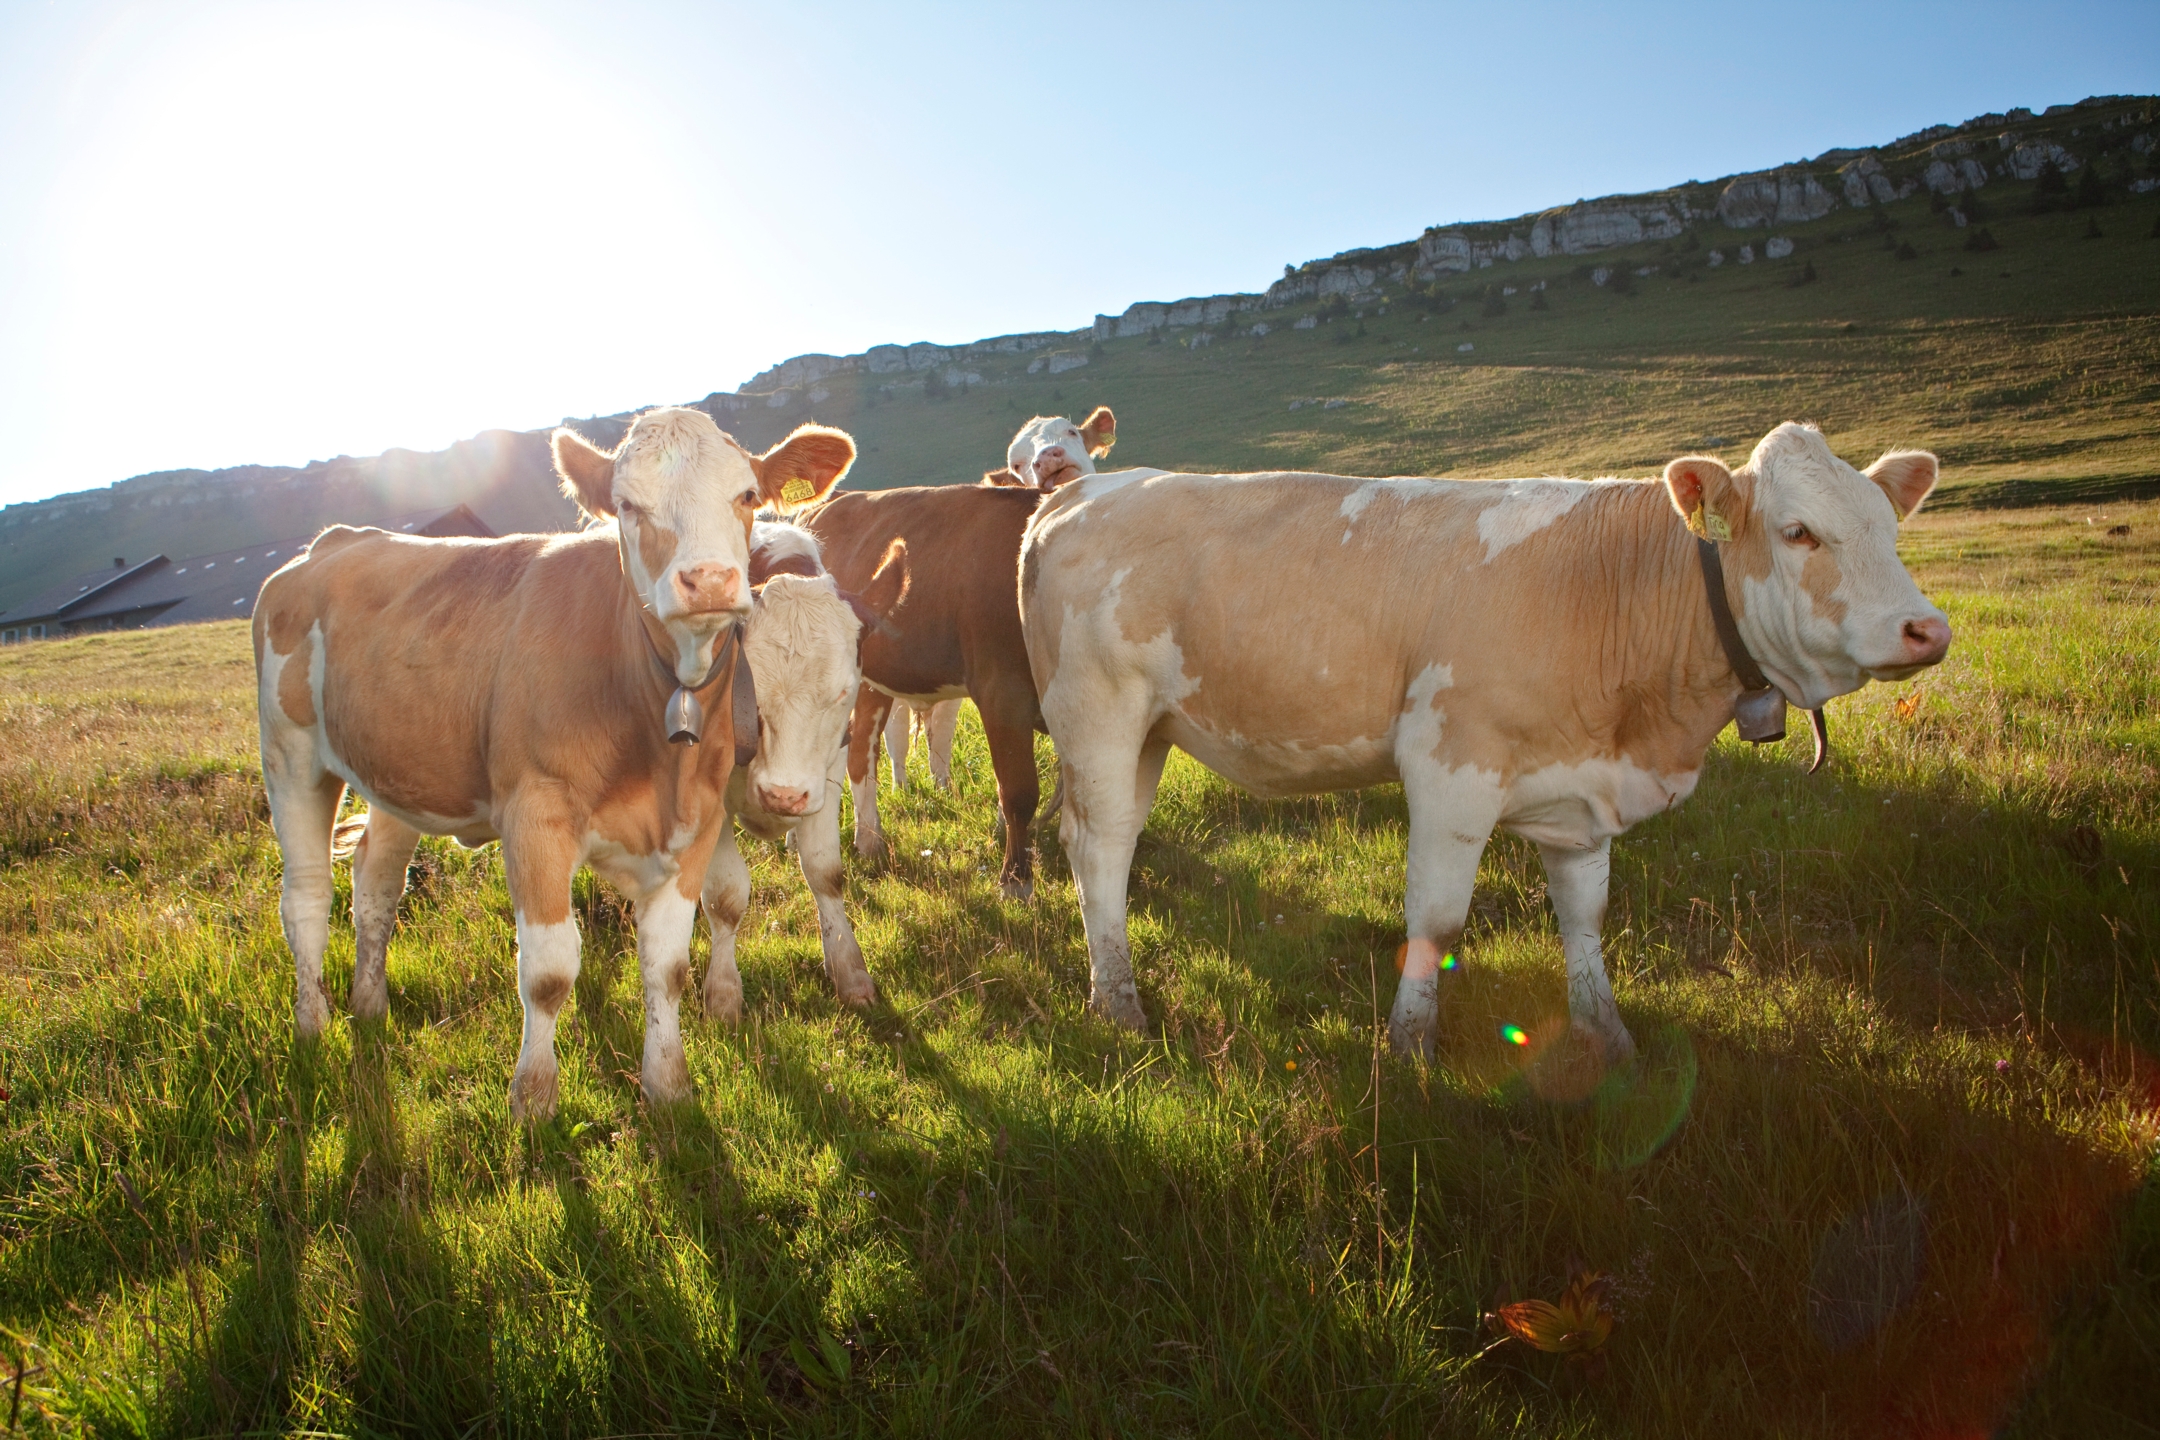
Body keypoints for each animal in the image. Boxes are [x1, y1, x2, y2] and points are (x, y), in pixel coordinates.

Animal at [252, 410, 851, 1122]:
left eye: (748, 495)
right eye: (627, 505)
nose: (708, 579)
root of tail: (335, 541)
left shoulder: (699, 822)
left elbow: (668, 963)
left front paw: (668, 1086)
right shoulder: (535, 817)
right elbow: (548, 971)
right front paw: (533, 1098)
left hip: (397, 770)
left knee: (377, 880)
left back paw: (369, 1007)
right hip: (290, 754)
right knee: (306, 897)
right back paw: (311, 1027)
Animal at [699, 524, 902, 1031]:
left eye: (844, 693)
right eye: (748, 691)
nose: (783, 795)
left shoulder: (825, 773)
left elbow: (826, 873)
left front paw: (849, 970)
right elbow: (726, 895)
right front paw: (724, 994)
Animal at [807, 410, 1123, 893]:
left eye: (1073, 432)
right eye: (1016, 462)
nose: (1051, 460)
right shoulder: (1001, 690)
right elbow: (1018, 791)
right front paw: (1015, 879)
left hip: (873, 677)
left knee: (862, 749)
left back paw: (867, 840)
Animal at [1019, 423, 1952, 1066]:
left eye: (1891, 529)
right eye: (1799, 532)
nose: (1927, 629)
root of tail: (1081, 492)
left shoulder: (1579, 786)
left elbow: (1584, 915)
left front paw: (1608, 1033)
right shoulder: (1449, 767)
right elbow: (1435, 918)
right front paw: (1412, 1044)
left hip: (1151, 730)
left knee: (1111, 842)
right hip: (1097, 710)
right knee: (1099, 847)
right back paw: (1118, 1003)